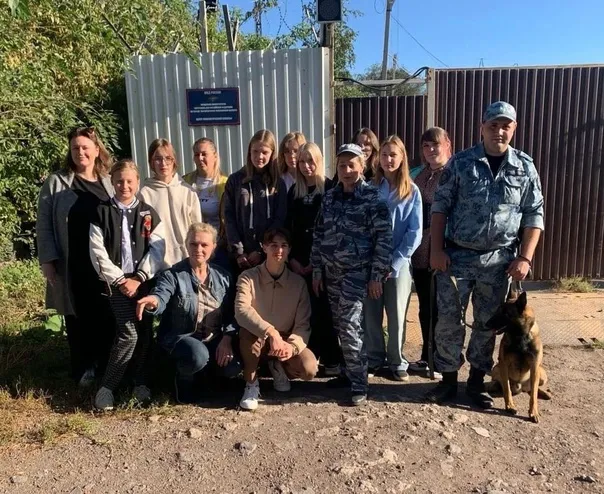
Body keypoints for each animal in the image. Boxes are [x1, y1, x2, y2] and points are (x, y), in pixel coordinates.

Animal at [485, 289, 552, 423]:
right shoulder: (504, 364)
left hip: (542, 374)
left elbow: (533, 396)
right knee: (499, 383)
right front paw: (510, 406)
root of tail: (521, 387)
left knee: (533, 389)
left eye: (505, 313)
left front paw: (533, 412)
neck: (520, 336)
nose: (486, 324)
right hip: (497, 368)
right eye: (497, 310)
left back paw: (545, 393)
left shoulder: (535, 367)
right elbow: (506, 389)